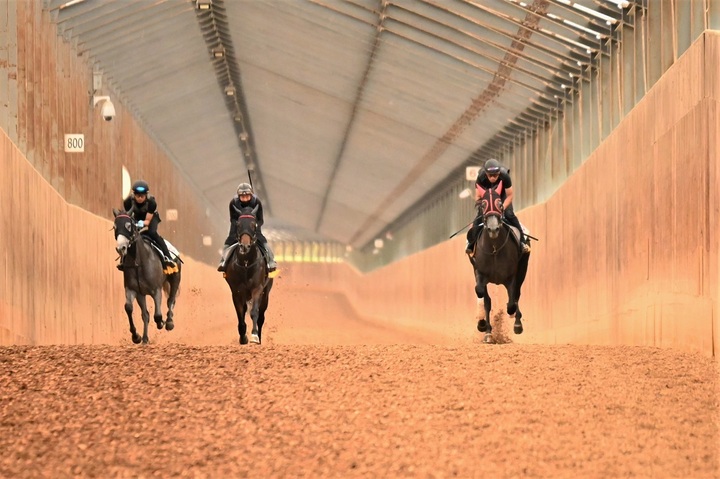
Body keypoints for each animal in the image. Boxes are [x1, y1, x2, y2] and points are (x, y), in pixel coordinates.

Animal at [112, 209, 182, 344]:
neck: (139, 263)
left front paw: (161, 323)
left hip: (175, 278)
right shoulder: (133, 290)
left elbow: (158, 315)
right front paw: (136, 336)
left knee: (171, 300)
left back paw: (169, 322)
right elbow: (129, 308)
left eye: (128, 226)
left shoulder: (156, 290)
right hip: (141, 294)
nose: (121, 248)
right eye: (115, 227)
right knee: (145, 314)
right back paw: (144, 339)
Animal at [222, 204, 274, 345]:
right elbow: (240, 313)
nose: (245, 246)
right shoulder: (236, 291)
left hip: (265, 294)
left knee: (261, 316)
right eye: (238, 224)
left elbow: (254, 312)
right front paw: (243, 337)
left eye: (254, 224)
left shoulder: (257, 288)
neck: (246, 264)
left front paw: (254, 336)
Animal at [468, 184, 529, 343]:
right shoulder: (480, 272)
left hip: (523, 268)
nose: (493, 228)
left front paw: (513, 316)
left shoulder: (511, 276)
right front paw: (483, 326)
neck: (494, 249)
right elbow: (481, 294)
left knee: (517, 294)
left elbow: (512, 302)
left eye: (500, 204)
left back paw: (517, 322)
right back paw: (488, 331)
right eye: (483, 205)